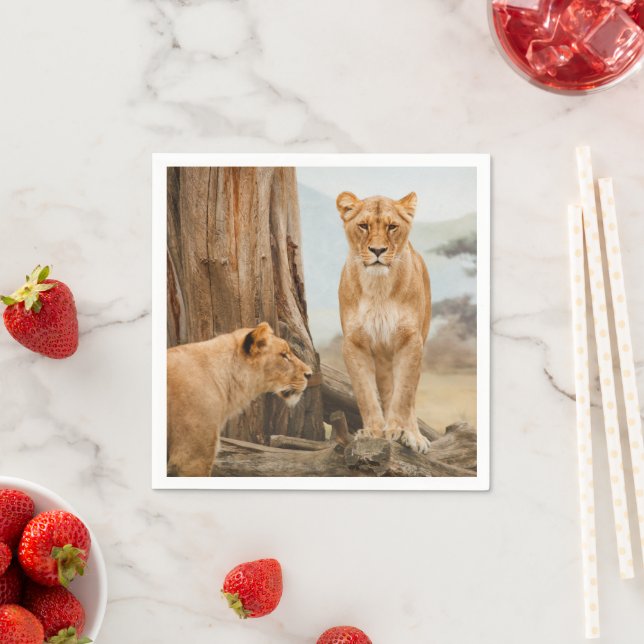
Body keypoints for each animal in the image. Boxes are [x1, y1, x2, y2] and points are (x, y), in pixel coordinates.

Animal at [337, 191, 432, 454]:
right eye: (363, 225)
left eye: (392, 226)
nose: (377, 250)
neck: (378, 287)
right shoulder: (354, 343)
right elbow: (365, 393)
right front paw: (373, 431)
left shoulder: (410, 341)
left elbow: (404, 394)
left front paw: (399, 431)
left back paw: (414, 435)